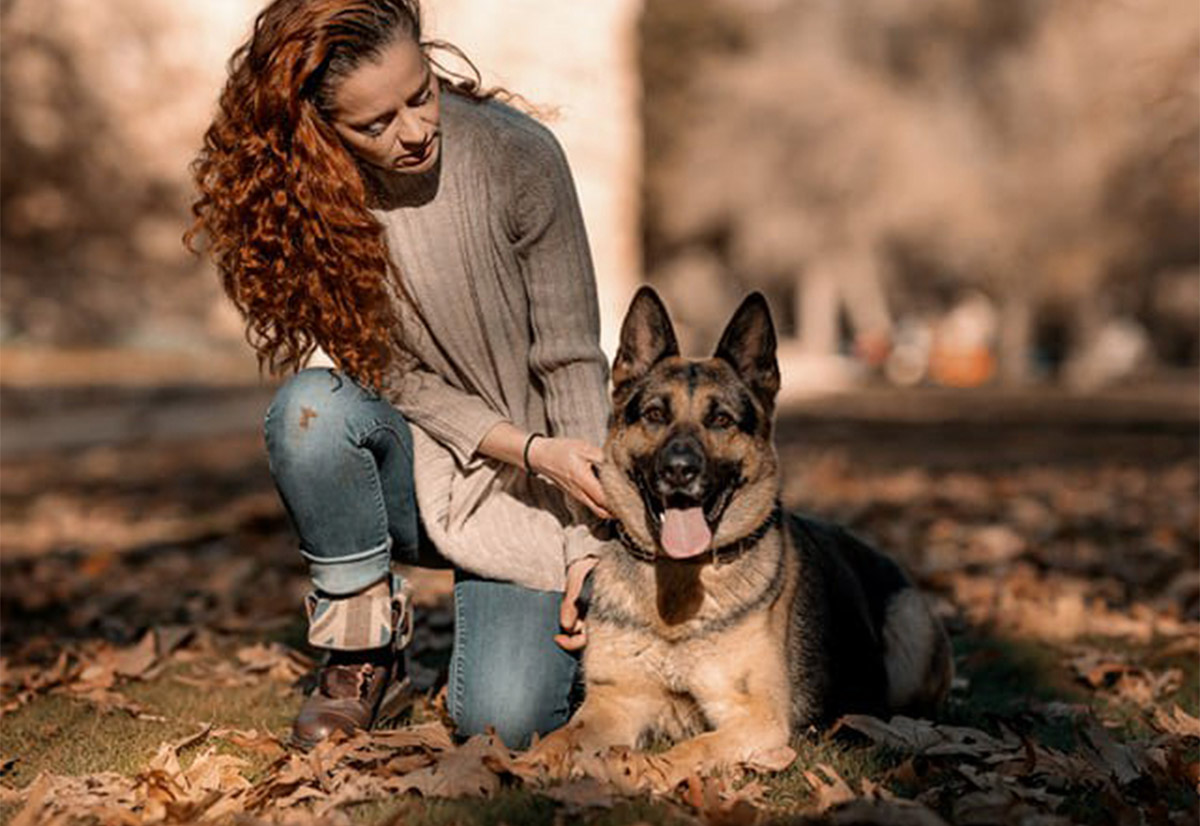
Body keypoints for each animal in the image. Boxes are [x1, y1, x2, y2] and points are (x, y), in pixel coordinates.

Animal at [530, 286, 950, 777]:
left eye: (722, 421)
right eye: (654, 414)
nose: (679, 470)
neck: (678, 584)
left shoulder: (756, 720)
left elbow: (689, 751)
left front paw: (642, 774)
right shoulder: (614, 702)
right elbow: (562, 738)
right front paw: (522, 765)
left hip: (909, 624)